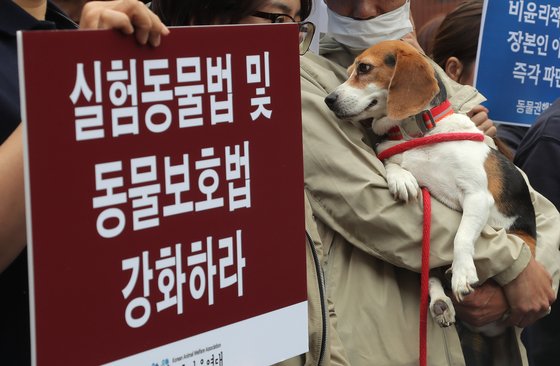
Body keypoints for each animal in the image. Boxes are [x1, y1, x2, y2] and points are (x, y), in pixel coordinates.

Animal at [326, 40, 536, 334]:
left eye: (364, 68)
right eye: (348, 71)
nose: (329, 99)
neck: (417, 134)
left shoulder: (477, 196)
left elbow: (461, 236)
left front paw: (462, 272)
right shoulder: (392, 153)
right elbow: (392, 163)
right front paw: (402, 178)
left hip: (523, 240)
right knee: (431, 275)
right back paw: (440, 302)